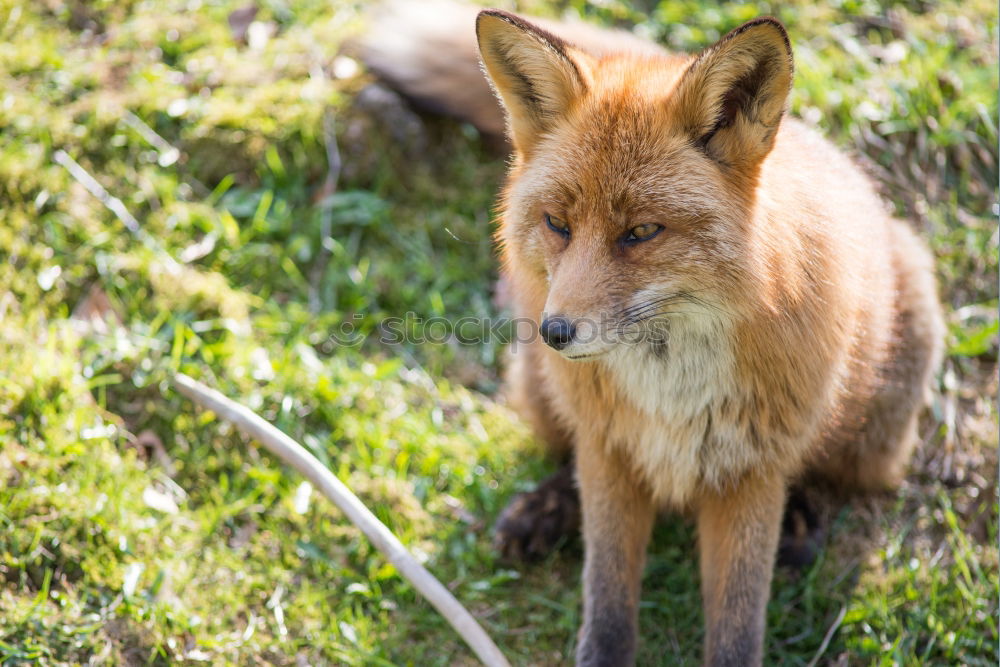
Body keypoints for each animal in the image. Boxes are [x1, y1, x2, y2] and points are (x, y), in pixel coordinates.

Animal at [358, 2, 944, 664]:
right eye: (557, 224)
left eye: (640, 232)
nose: (554, 333)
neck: (672, 388)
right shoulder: (610, 448)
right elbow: (607, 594)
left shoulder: (749, 473)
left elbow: (738, 622)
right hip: (544, 395)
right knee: (563, 457)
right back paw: (544, 508)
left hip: (875, 425)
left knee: (831, 476)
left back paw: (801, 517)